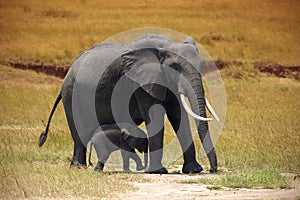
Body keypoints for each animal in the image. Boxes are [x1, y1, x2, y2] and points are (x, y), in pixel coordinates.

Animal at [38, 34, 219, 173]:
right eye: (175, 67)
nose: (212, 169)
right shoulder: (140, 83)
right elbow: (156, 116)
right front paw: (157, 171)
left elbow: (179, 116)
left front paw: (193, 170)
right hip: (71, 95)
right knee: (80, 132)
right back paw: (78, 168)